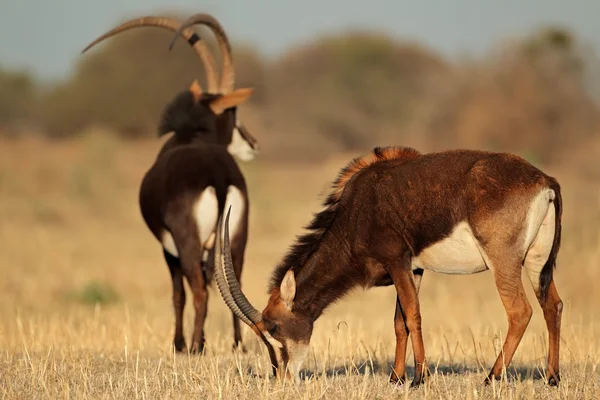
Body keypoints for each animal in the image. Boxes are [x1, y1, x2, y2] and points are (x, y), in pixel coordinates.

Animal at [81, 13, 258, 354]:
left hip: (187, 243)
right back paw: (237, 345)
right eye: (234, 113)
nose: (253, 143)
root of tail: (217, 175)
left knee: (199, 290)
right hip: (237, 238)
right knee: (236, 285)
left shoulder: (169, 248)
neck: (192, 134)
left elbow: (178, 294)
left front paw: (179, 344)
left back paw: (195, 346)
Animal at [212, 147, 564, 388]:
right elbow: (399, 322)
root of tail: (544, 181)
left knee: (520, 311)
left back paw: (492, 377)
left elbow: (412, 315)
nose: (283, 377)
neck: (356, 208)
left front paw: (419, 377)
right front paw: (396, 377)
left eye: (273, 328)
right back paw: (552, 377)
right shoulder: (413, 268)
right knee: (553, 305)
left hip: (503, 261)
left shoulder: (397, 260)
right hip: (537, 263)